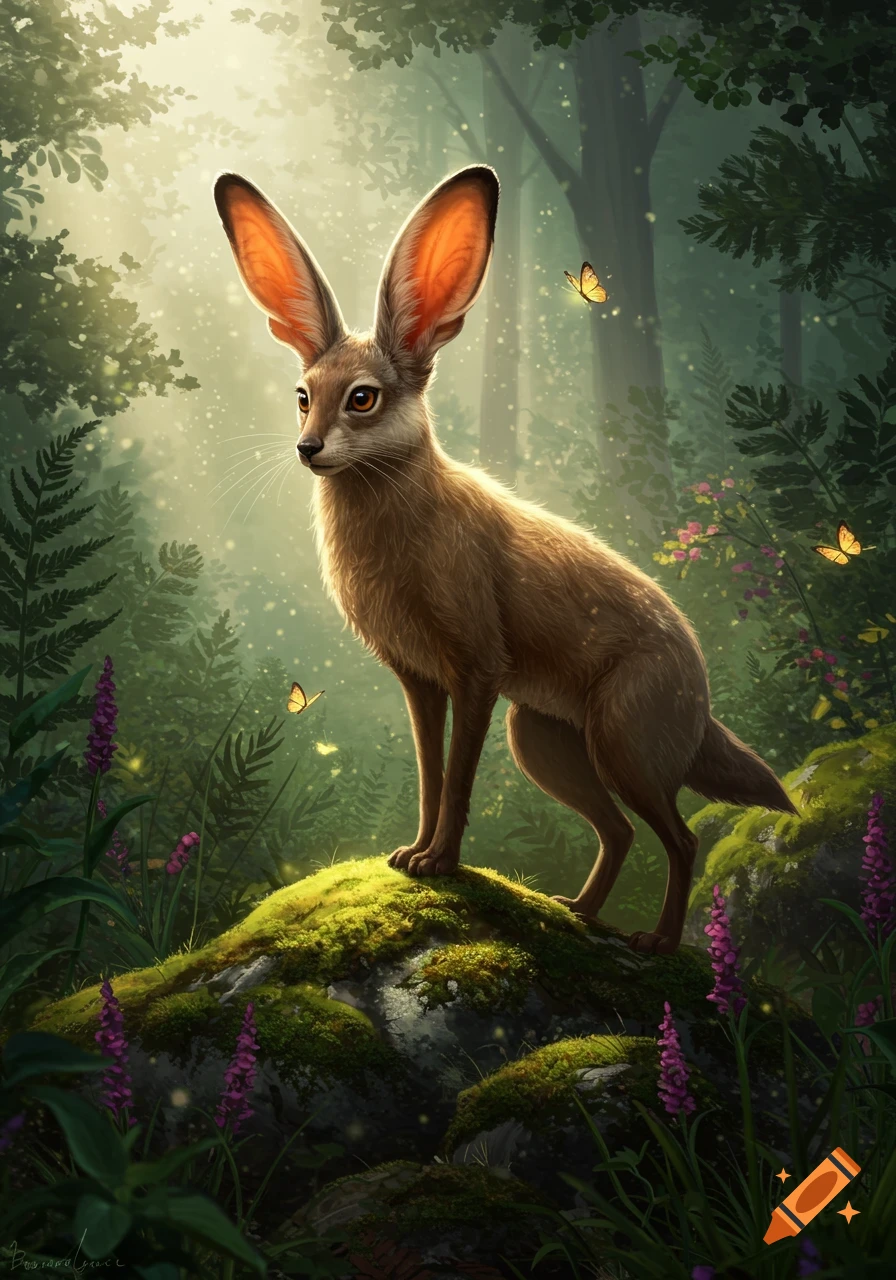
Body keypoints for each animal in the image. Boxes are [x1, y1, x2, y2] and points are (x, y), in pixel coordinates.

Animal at [213, 164, 796, 955]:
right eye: (303, 396)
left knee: (680, 840)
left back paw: (655, 943)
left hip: (620, 743)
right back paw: (577, 911)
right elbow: (430, 776)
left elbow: (459, 778)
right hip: (542, 740)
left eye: (362, 399)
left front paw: (439, 864)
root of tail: (699, 694)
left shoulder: (477, 670)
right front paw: (410, 855)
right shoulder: (421, 682)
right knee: (619, 832)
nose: (308, 449)